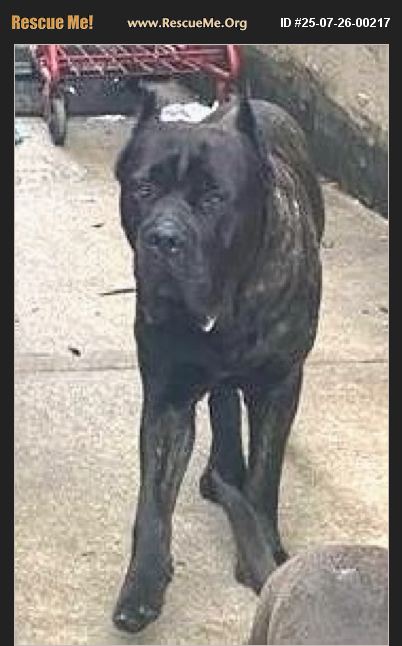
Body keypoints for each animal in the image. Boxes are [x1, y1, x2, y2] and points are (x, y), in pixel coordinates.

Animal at [112, 91, 324, 633]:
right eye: (143, 189)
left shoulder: (278, 387)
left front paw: (263, 551)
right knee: (224, 401)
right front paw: (142, 585)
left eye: (213, 199)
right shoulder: (167, 399)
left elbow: (266, 474)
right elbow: (153, 501)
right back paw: (222, 469)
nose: (163, 237)